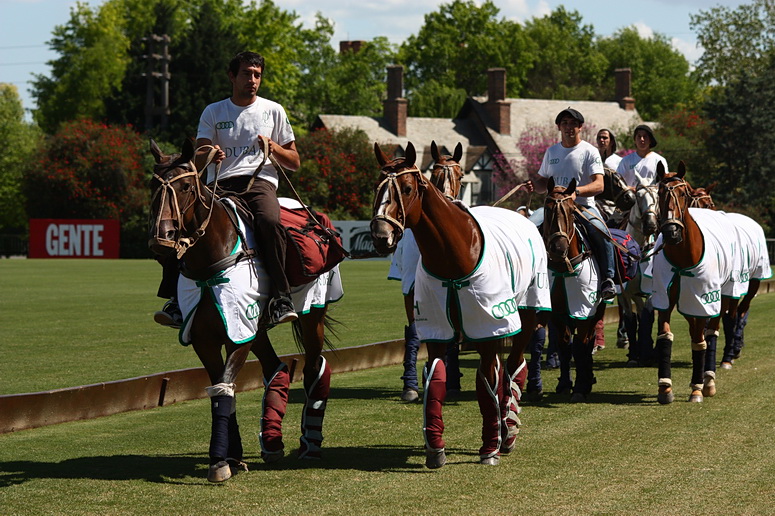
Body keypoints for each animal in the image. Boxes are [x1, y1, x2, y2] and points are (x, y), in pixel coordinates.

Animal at [148, 139, 341, 481]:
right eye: (151, 186)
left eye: (186, 186)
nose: (162, 238)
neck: (211, 258)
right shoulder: (210, 336)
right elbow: (222, 390)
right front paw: (231, 457)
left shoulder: (239, 331)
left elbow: (225, 386)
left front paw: (219, 462)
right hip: (257, 326)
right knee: (276, 367)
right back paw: (273, 441)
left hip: (311, 314)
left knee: (312, 367)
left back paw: (310, 442)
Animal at [370, 141, 550, 468]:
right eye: (376, 186)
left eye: (406, 187)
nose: (381, 236)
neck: (456, 255)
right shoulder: (436, 329)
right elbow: (436, 378)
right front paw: (435, 447)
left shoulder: (489, 326)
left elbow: (488, 382)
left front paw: (491, 447)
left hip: (527, 312)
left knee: (514, 365)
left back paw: (508, 428)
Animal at [541, 178, 608, 402]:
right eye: (547, 209)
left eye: (571, 211)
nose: (559, 248)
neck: (564, 267)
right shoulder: (557, 313)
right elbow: (564, 346)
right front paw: (564, 384)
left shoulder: (585, 310)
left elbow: (579, 347)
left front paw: (579, 387)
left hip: (598, 310)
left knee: (587, 343)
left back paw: (587, 379)